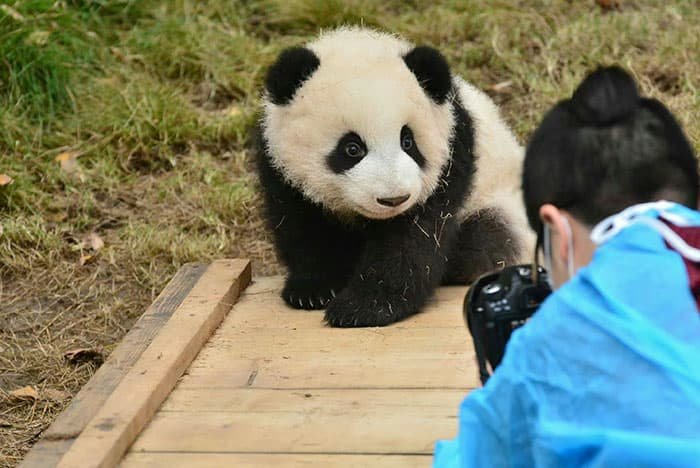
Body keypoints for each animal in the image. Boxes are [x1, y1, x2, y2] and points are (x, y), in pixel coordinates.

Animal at [255, 27, 534, 327]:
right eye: (352, 148)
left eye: (408, 141)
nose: (393, 199)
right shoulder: (277, 164)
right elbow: (302, 223)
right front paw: (312, 290)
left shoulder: (452, 155)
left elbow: (415, 237)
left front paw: (364, 307)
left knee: (488, 237)